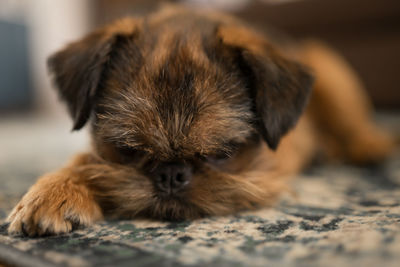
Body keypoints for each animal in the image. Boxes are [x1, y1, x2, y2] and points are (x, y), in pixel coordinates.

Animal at [6, 5, 394, 237]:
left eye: (222, 153)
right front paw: (55, 189)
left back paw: (367, 144)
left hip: (327, 64)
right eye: (127, 150)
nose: (171, 175)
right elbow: (85, 160)